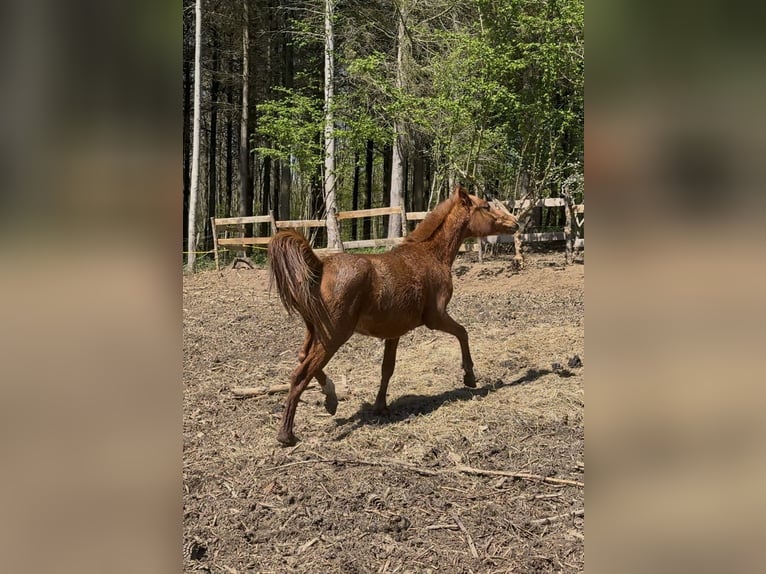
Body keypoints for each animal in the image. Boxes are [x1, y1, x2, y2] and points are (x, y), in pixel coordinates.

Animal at [268, 186, 519, 445]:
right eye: (486, 207)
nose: (515, 223)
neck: (430, 255)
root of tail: (319, 267)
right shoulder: (436, 317)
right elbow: (463, 333)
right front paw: (469, 377)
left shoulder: (394, 332)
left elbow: (387, 368)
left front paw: (380, 406)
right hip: (334, 336)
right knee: (301, 374)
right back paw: (287, 434)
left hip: (315, 331)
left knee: (303, 359)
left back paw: (331, 399)